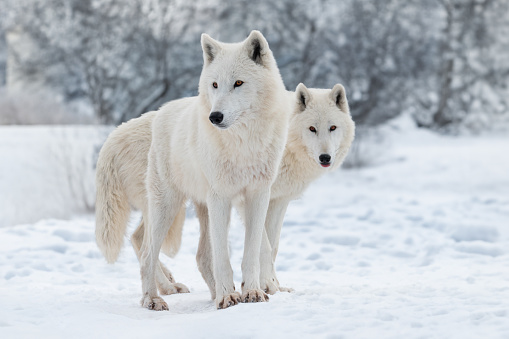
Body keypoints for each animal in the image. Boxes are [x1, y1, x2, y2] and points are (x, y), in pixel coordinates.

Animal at [93, 31, 288, 310]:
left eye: (238, 83)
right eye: (215, 85)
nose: (214, 117)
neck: (243, 144)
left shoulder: (258, 195)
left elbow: (252, 252)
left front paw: (251, 292)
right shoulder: (221, 198)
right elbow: (223, 257)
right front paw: (228, 297)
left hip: (196, 207)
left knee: (198, 255)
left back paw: (207, 293)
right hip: (167, 206)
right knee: (147, 253)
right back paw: (153, 298)